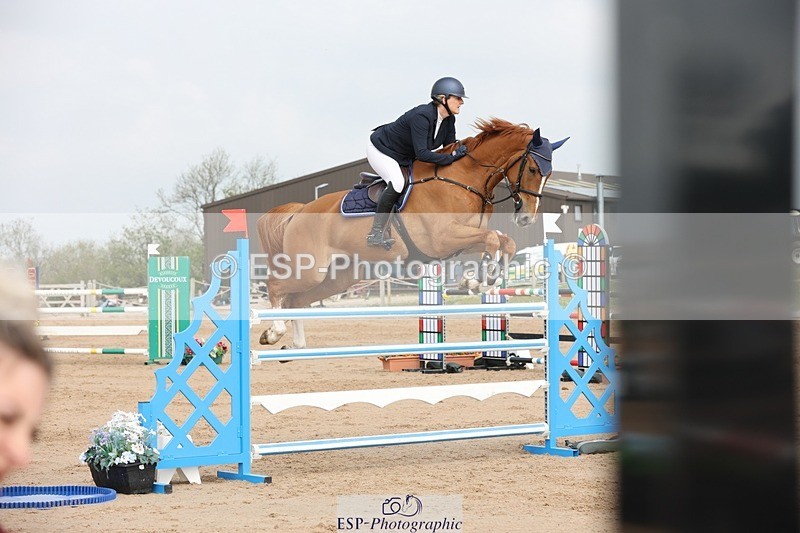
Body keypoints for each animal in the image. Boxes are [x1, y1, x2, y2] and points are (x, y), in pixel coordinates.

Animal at [256, 118, 567, 348]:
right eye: (532, 168)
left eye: (549, 175)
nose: (526, 217)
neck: (463, 179)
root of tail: (299, 211)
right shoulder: (443, 238)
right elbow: (493, 239)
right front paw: (480, 279)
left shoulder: (463, 238)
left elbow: (505, 242)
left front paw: (480, 279)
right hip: (311, 270)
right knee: (276, 287)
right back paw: (274, 332)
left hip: (338, 277)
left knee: (296, 300)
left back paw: (296, 344)